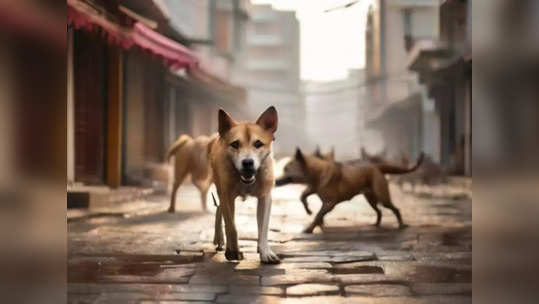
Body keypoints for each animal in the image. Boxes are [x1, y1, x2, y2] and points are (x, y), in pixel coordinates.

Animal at [210, 106, 280, 264]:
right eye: (235, 144)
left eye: (258, 144)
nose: (247, 162)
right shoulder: (227, 196)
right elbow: (232, 227)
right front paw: (233, 252)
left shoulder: (265, 197)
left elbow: (263, 228)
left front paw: (265, 252)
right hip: (220, 188)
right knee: (220, 211)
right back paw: (221, 240)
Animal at [278, 148, 426, 233]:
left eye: (286, 169)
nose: (276, 180)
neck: (316, 173)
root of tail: (376, 166)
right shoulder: (313, 188)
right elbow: (303, 196)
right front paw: (309, 211)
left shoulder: (329, 203)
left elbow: (318, 214)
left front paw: (310, 227)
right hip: (370, 198)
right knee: (378, 211)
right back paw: (376, 223)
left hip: (382, 196)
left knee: (394, 209)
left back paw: (401, 225)